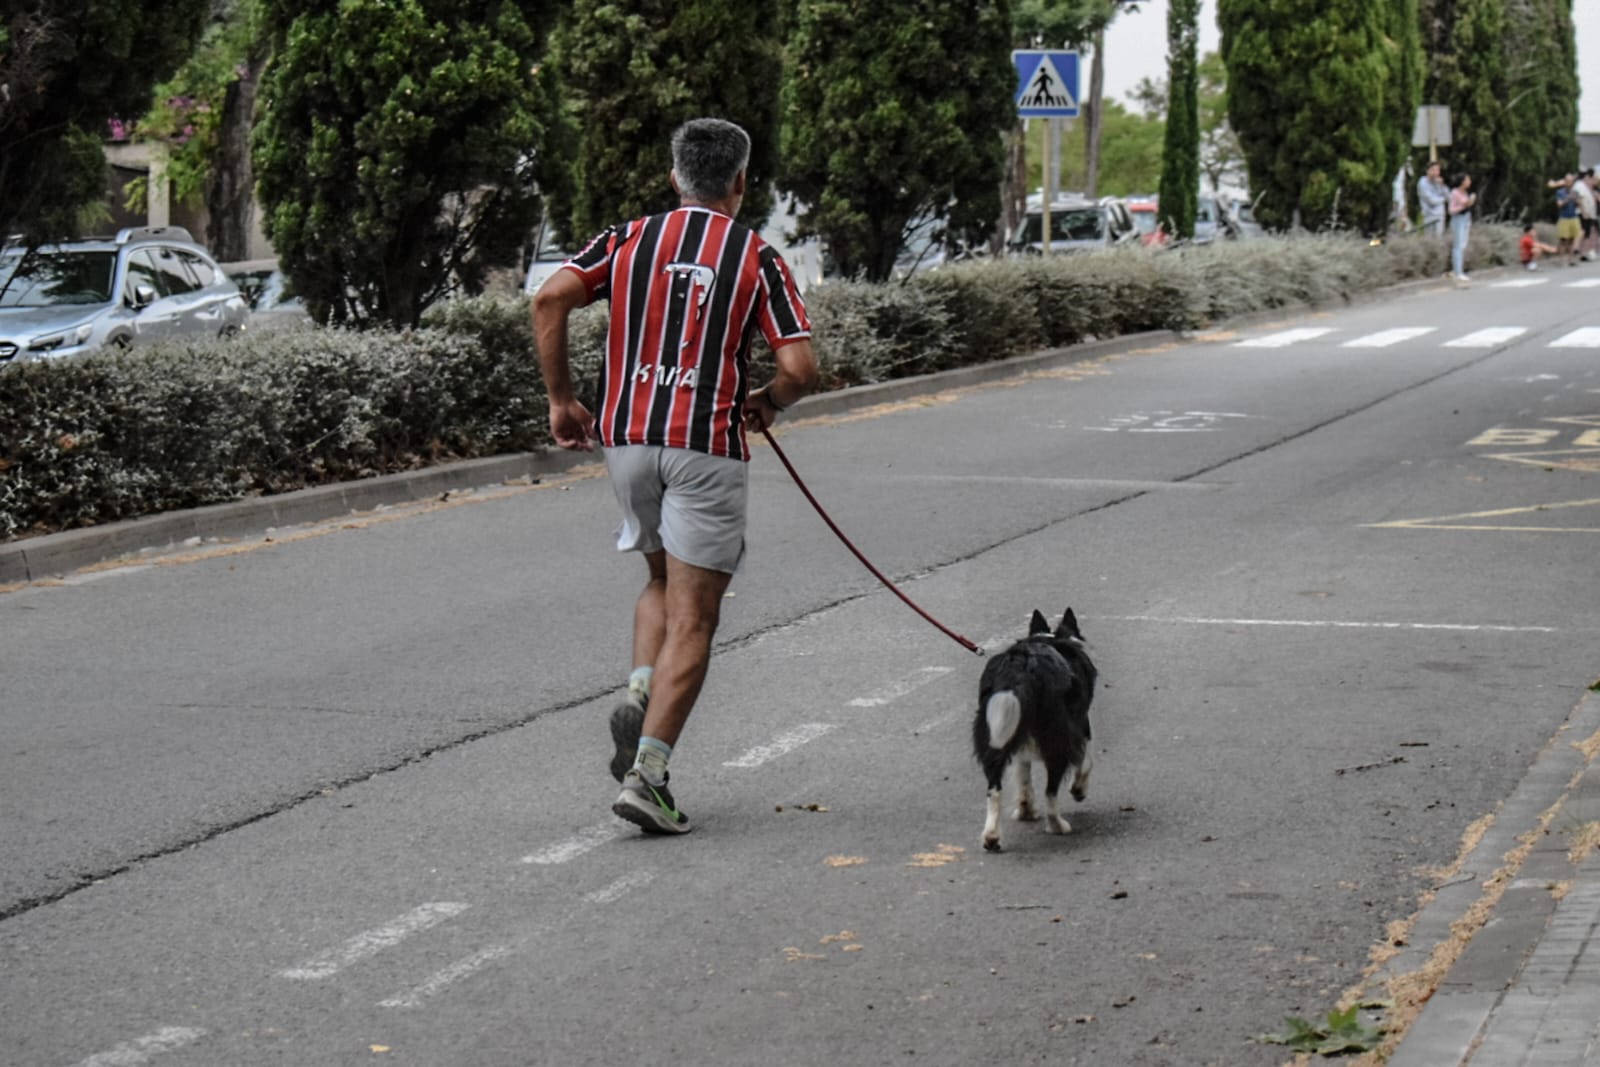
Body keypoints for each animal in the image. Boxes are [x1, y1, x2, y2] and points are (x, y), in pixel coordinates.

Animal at [966, 607, 1094, 851]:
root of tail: (1020, 665)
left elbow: (1023, 773)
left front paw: (1026, 809)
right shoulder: (1080, 725)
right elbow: (1086, 761)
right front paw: (1079, 790)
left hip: (993, 733)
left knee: (994, 788)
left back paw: (991, 837)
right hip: (1056, 733)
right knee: (1051, 790)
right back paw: (1057, 825)